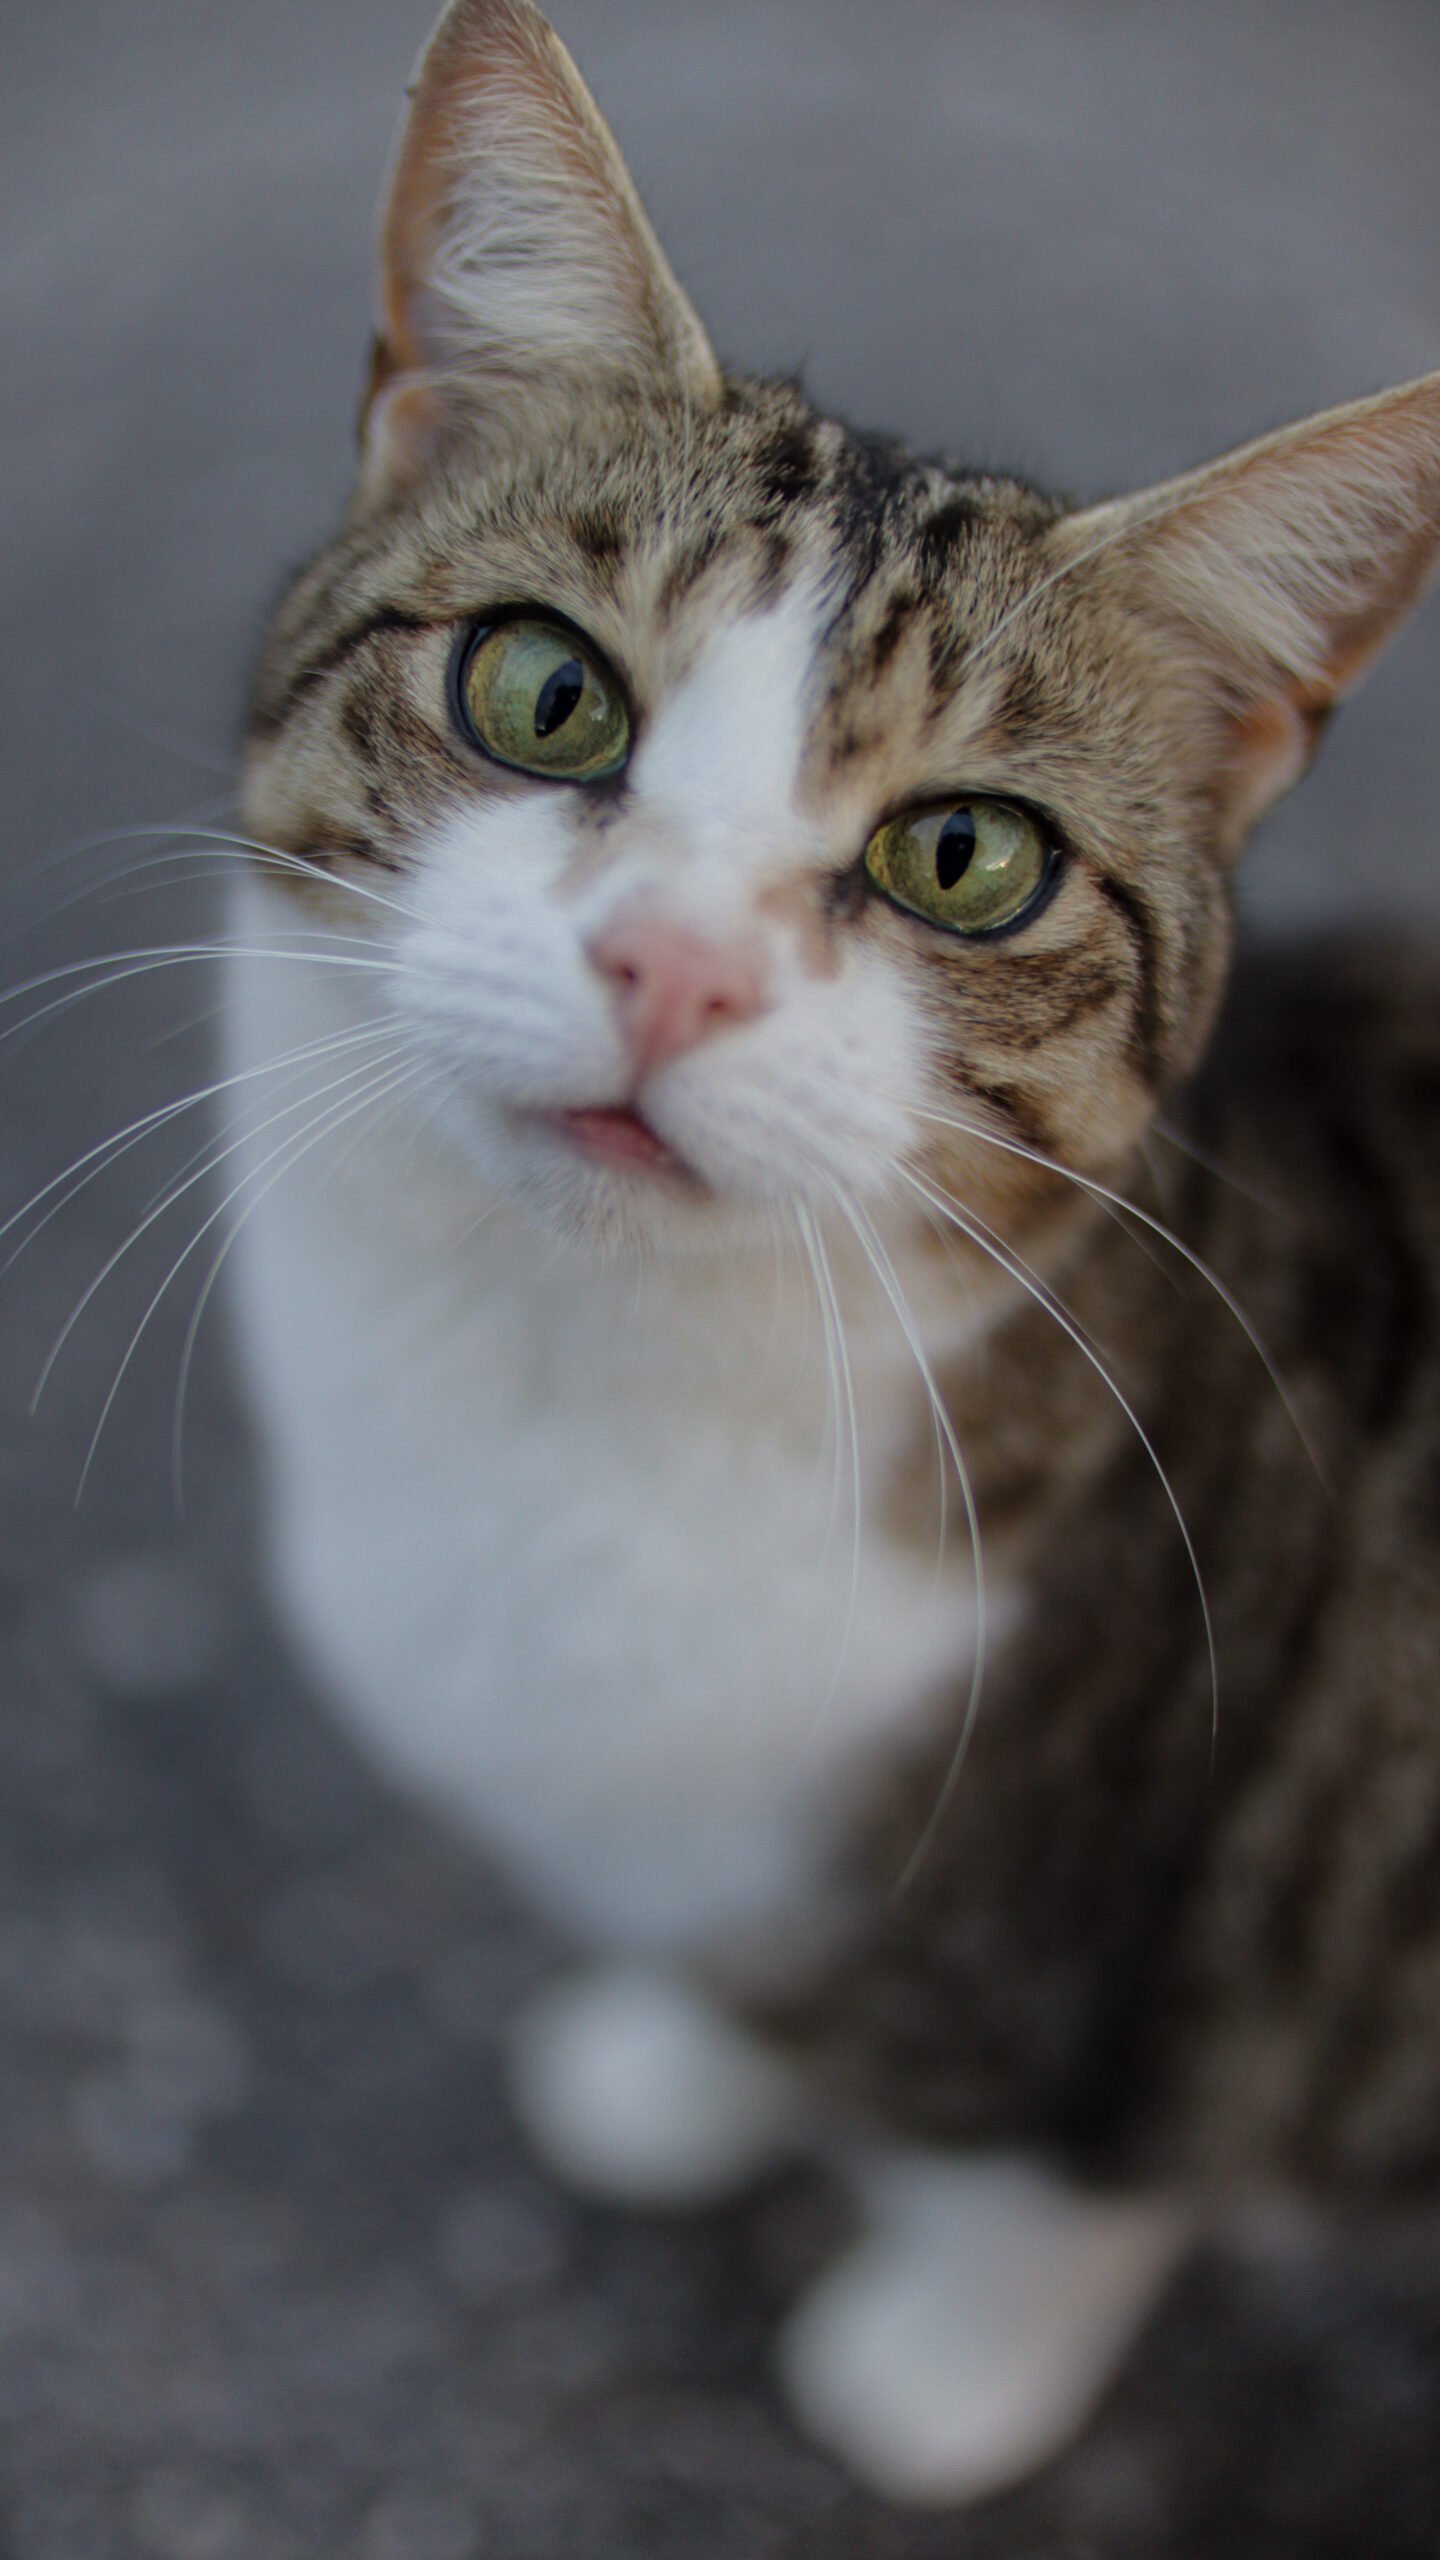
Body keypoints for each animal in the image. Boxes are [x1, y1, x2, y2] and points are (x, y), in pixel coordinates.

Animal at [221, 0, 1434, 2508]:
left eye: (964, 855)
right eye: (544, 690)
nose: (677, 963)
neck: (572, 1394)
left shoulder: (1150, 1968)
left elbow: (1052, 2167)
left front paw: (939, 2360)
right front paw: (690, 2063)